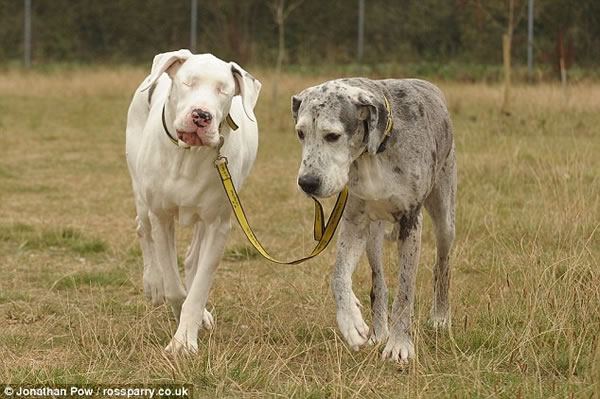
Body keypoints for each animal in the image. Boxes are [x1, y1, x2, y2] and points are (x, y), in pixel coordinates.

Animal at [125, 50, 258, 354]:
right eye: (188, 83)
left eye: (223, 90)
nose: (202, 115)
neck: (188, 155)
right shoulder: (161, 217)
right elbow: (174, 287)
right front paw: (177, 313)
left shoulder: (218, 225)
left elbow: (198, 287)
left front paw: (185, 338)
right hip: (140, 192)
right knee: (142, 229)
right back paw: (153, 283)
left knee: (192, 259)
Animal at [290, 77, 454, 362]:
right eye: (301, 133)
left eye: (332, 136)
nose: (307, 183)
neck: (374, 153)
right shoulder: (354, 222)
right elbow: (338, 275)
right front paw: (351, 321)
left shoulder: (411, 222)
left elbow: (406, 289)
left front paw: (400, 345)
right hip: (373, 235)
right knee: (379, 282)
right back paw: (379, 331)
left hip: (445, 218)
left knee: (441, 266)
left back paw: (440, 317)